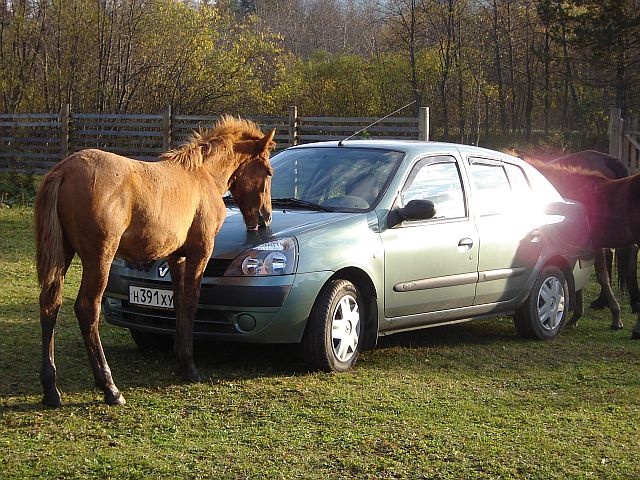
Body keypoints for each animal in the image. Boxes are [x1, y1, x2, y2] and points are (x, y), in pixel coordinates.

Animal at [35, 115, 276, 404]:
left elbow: (178, 302)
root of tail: (64, 170)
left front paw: (180, 359)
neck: (202, 175)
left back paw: (51, 389)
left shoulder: (175, 257)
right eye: (268, 172)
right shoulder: (200, 252)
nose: (265, 217)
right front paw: (190, 367)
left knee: (50, 305)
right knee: (87, 308)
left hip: (63, 254)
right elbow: (191, 301)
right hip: (99, 257)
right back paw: (110, 388)